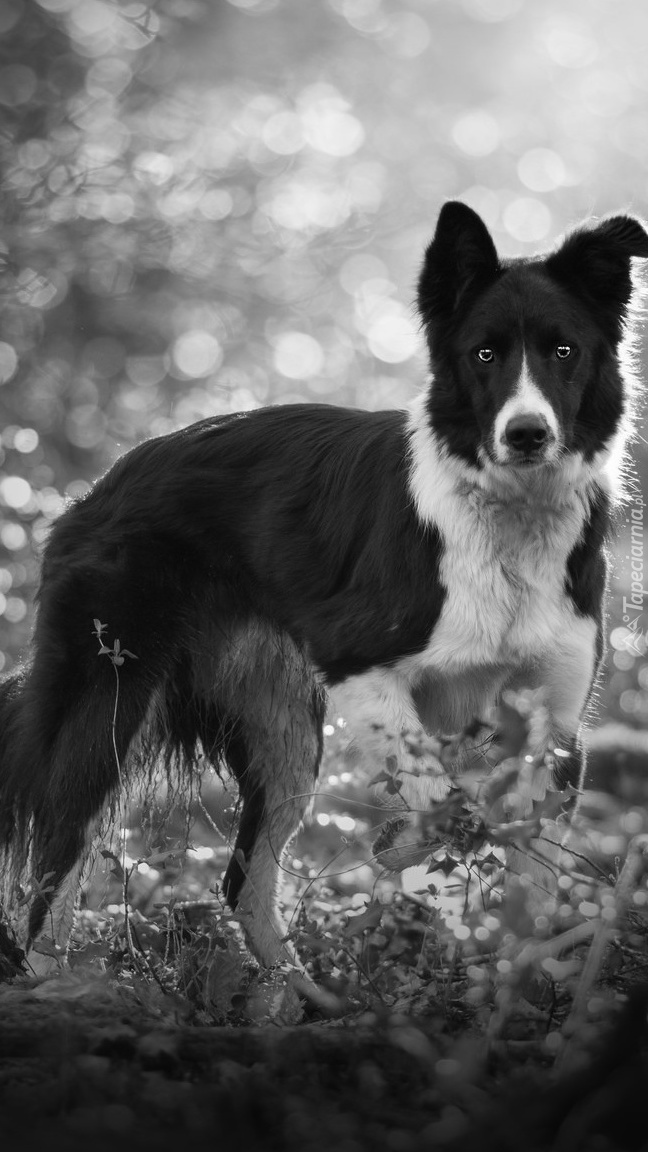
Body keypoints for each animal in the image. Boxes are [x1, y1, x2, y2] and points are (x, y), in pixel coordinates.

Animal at [1, 202, 645, 967]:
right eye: (484, 355)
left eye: (564, 351)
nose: (526, 435)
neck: (508, 516)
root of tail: (97, 488)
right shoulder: (361, 662)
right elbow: (441, 804)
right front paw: (398, 846)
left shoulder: (555, 721)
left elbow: (529, 878)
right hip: (111, 699)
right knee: (57, 857)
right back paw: (57, 978)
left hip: (282, 731)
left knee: (243, 883)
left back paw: (298, 990)